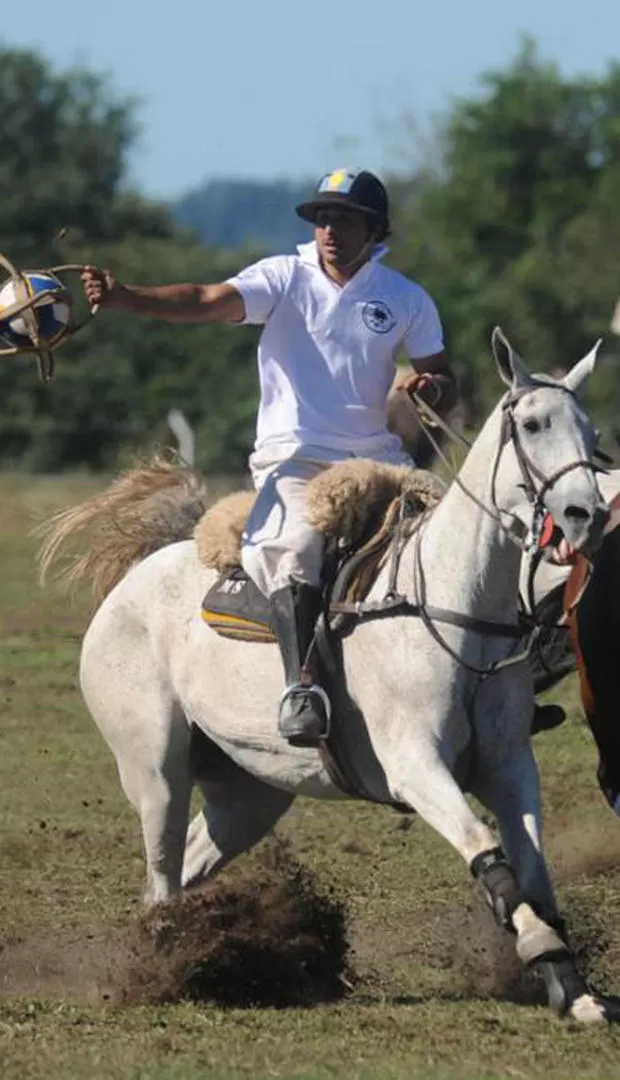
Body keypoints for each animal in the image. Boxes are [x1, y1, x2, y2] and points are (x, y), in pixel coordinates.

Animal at [41, 328, 617, 1019]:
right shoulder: (414, 765)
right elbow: (485, 846)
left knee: (189, 866)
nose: (588, 515)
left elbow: (534, 871)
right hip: (155, 770)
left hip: (249, 791)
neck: (456, 603)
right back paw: (162, 970)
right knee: (160, 872)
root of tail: (135, 574)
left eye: (592, 432)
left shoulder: (508, 765)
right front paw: (539, 950)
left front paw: (573, 988)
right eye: (532, 424)